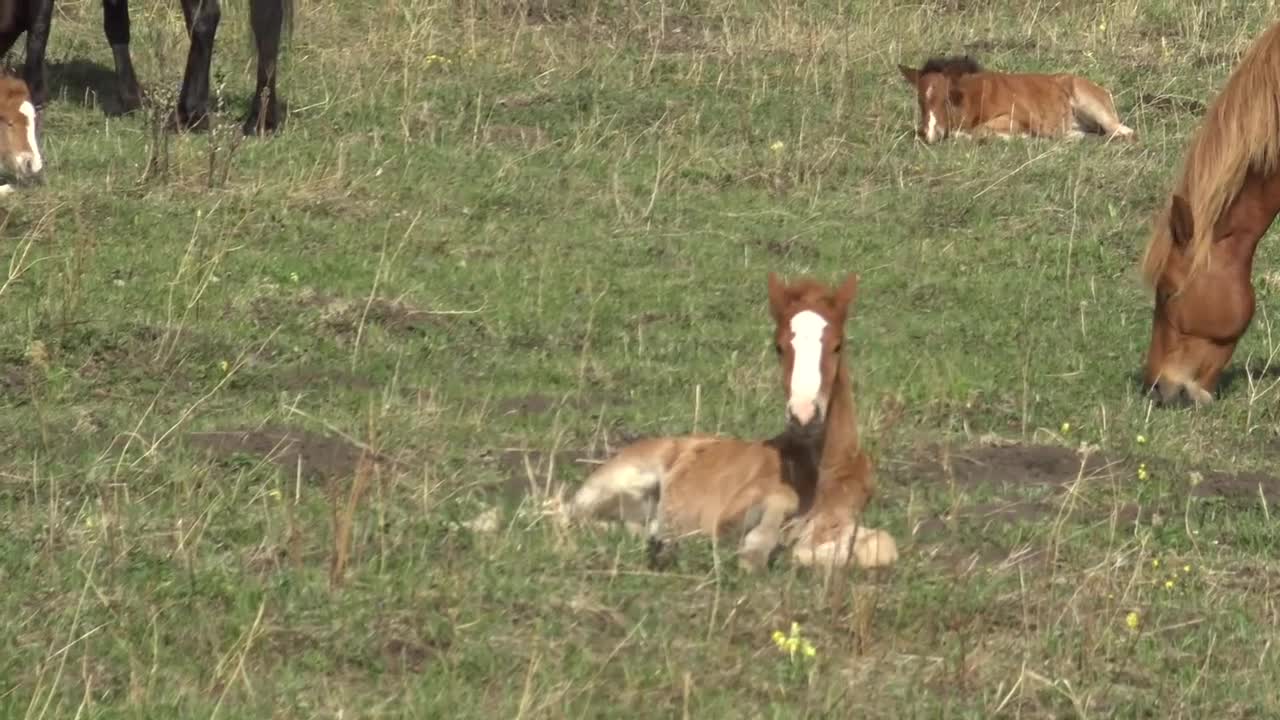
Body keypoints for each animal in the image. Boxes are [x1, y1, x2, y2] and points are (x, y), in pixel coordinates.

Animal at [570, 271, 901, 568]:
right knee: (573, 515)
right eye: (779, 346)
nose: (804, 416)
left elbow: (882, 545)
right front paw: (759, 551)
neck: (824, 473)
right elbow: (773, 511)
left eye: (837, 345)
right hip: (624, 480)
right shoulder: (729, 511)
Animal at [896, 57, 1136, 146]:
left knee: (1122, 132)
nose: (929, 134)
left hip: (1093, 108)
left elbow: (979, 131)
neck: (974, 97)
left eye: (946, 99)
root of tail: (1103, 91)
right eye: (920, 101)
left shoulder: (1018, 117)